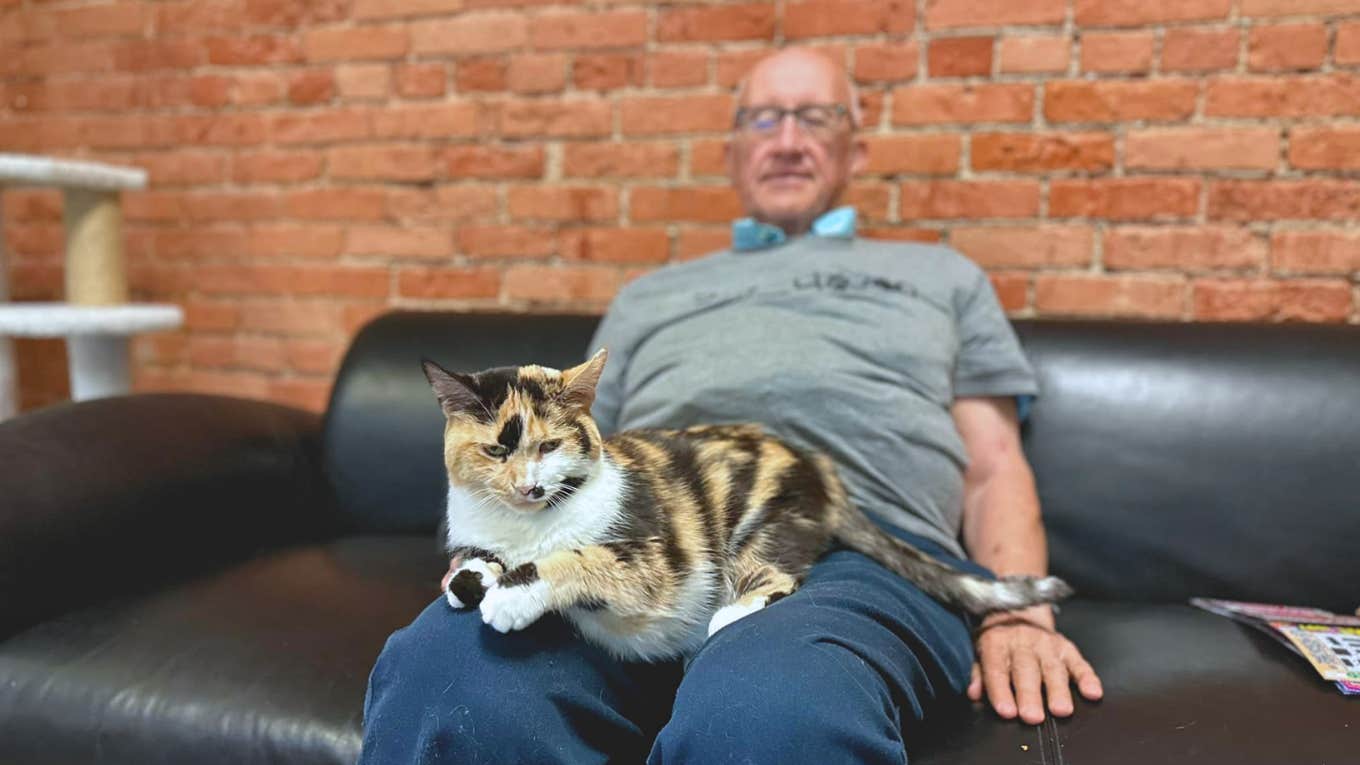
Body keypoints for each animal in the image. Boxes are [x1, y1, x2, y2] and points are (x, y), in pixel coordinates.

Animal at [424, 348, 1071, 658]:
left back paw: (729, 615)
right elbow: (474, 564)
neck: (524, 526)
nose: (529, 488)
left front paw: (510, 597)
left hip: (763, 522)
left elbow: (577, 561)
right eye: (495, 450)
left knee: (776, 577)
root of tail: (820, 468)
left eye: (550, 445)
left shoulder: (648, 560)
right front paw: (470, 579)